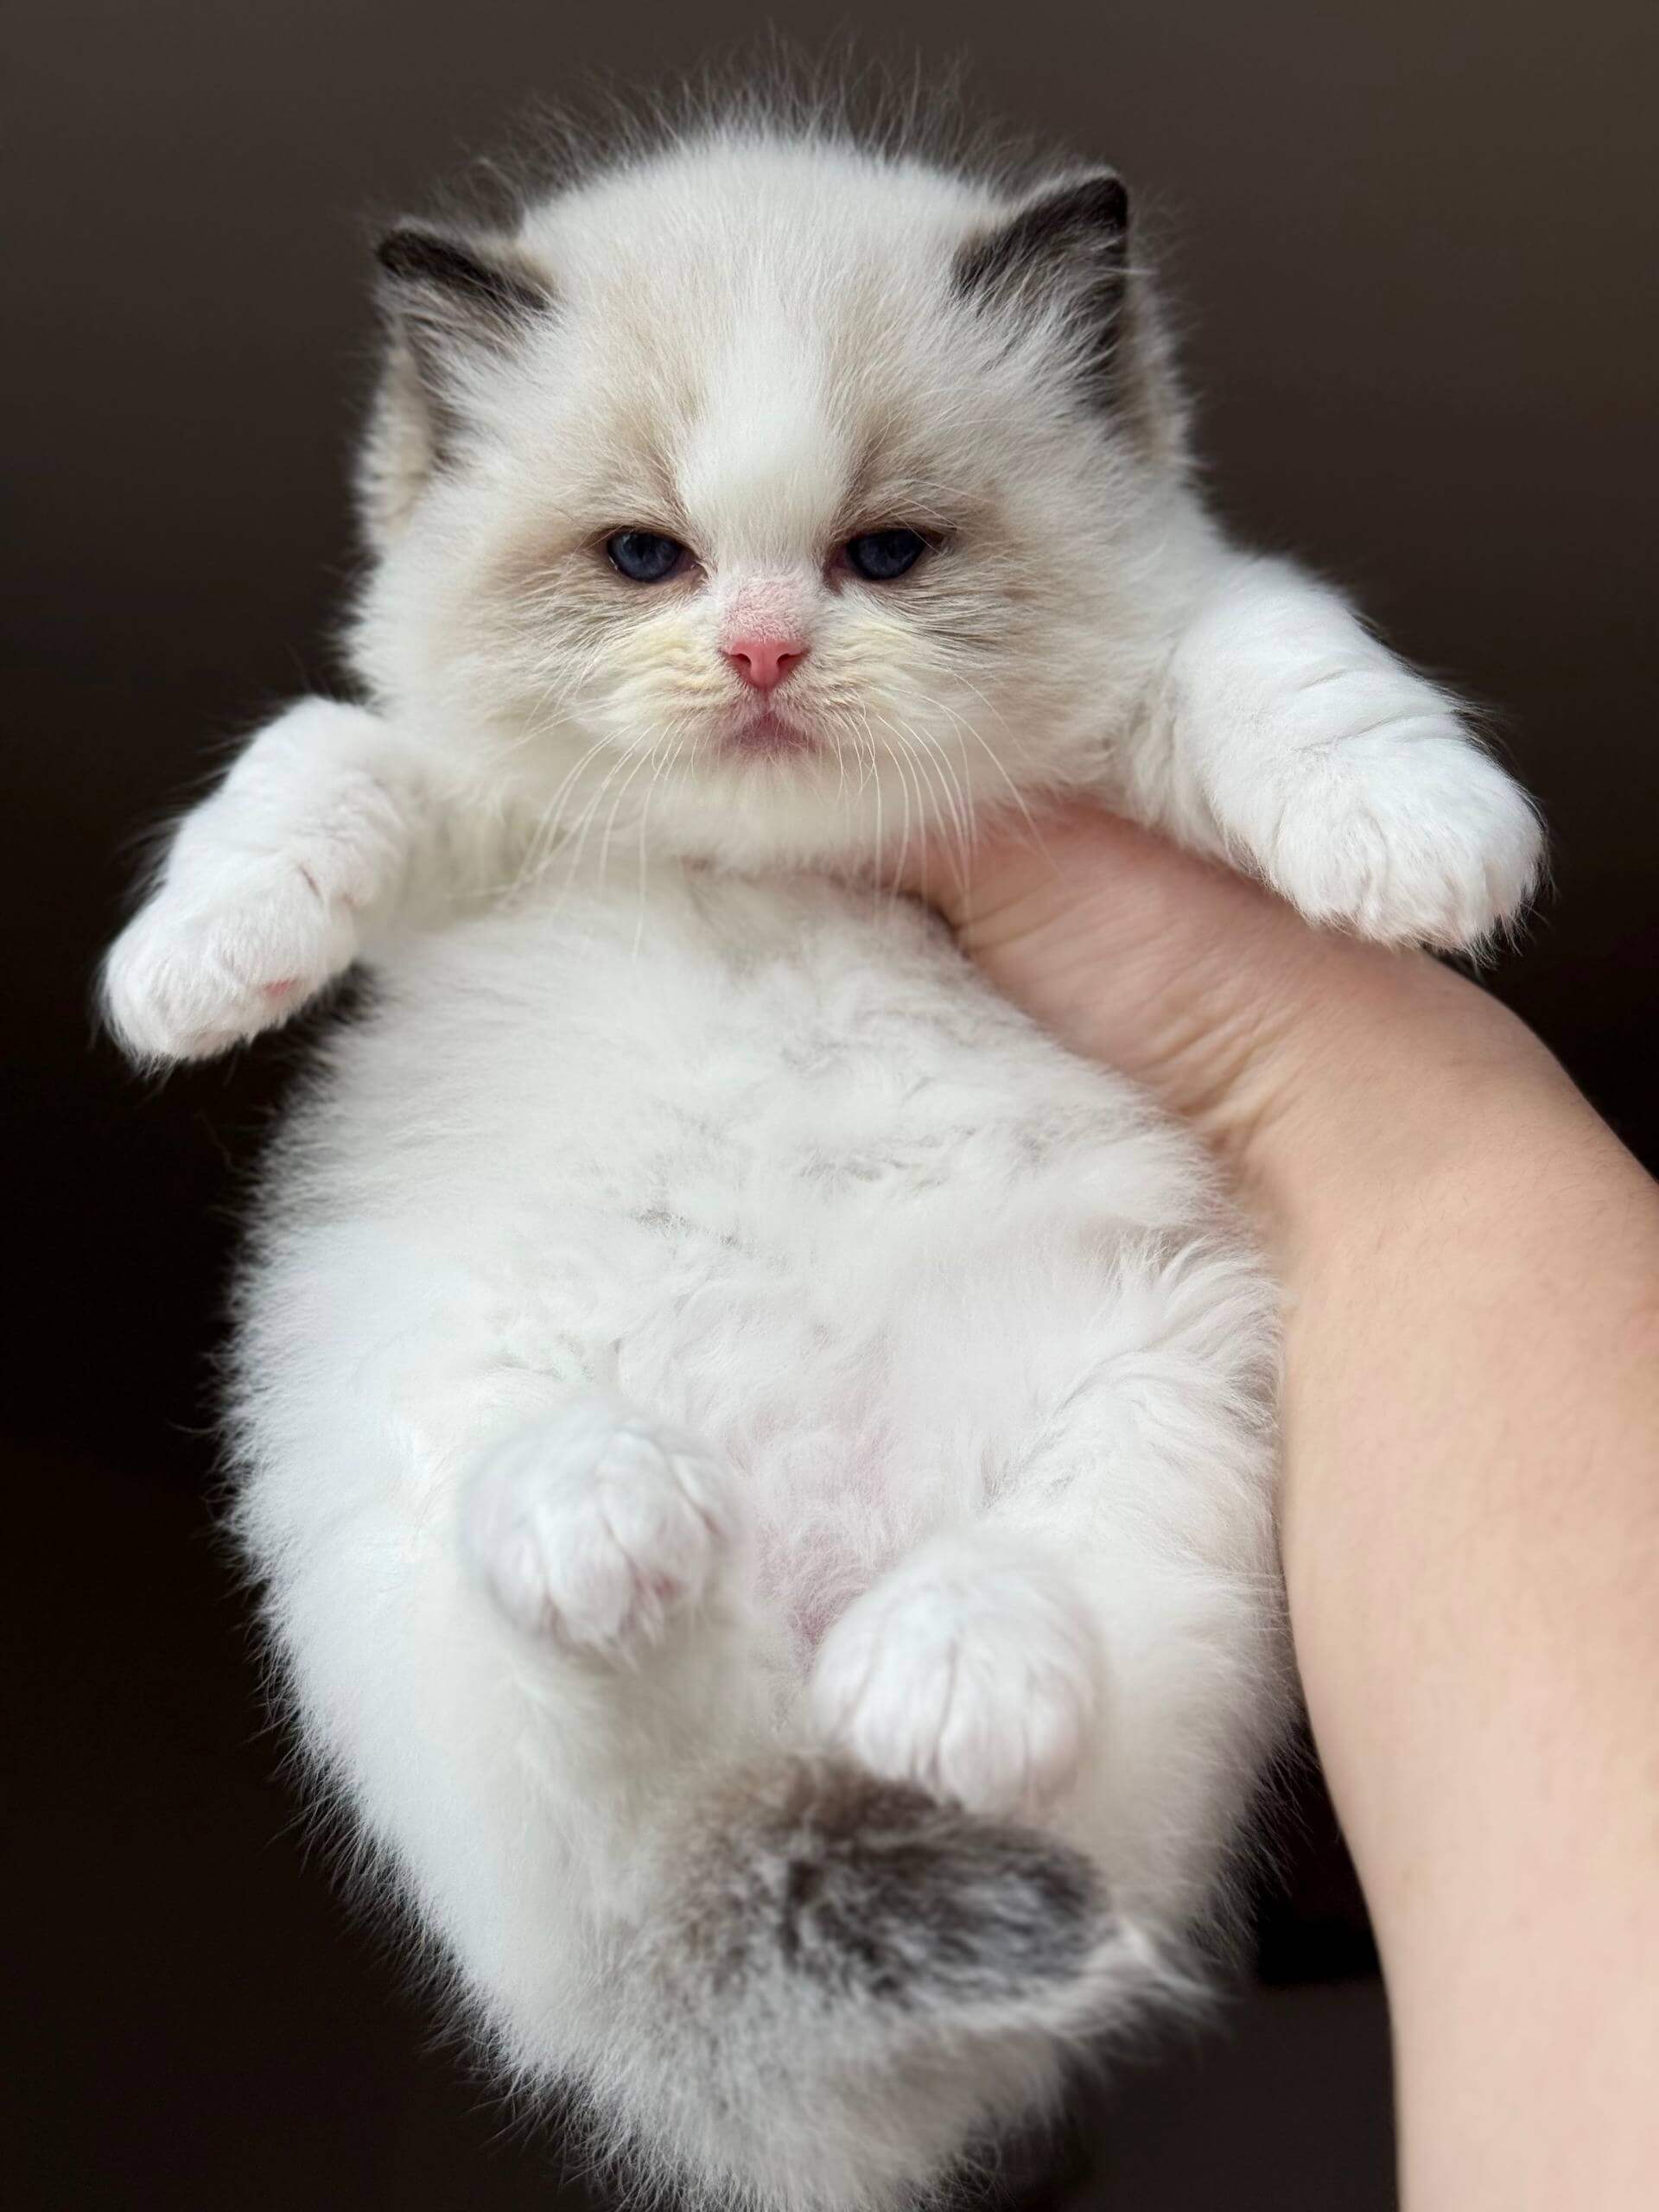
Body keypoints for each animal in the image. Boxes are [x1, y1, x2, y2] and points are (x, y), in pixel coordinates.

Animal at [102, 106, 1540, 2211]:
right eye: (646, 557)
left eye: (886, 556)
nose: (766, 649)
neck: (787, 876)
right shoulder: (457, 803)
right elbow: (318, 765)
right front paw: (187, 971)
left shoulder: (1173, 695)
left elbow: (1286, 671)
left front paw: (1428, 855)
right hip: (440, 1467)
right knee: (610, 1714)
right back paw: (607, 1513)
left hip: (1167, 1402)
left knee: (996, 1644)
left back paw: (923, 1666)